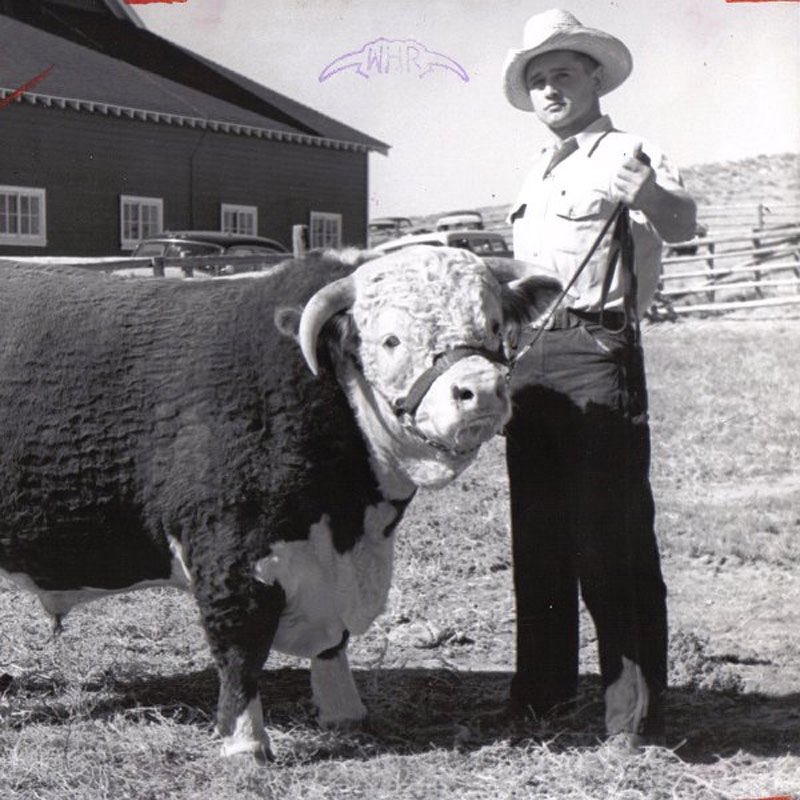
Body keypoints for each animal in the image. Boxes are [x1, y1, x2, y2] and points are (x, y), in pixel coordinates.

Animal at [0, 247, 560, 761]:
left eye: (492, 326)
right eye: (391, 340)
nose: (481, 391)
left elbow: (334, 646)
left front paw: (344, 714)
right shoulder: (230, 551)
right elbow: (240, 648)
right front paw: (245, 743)